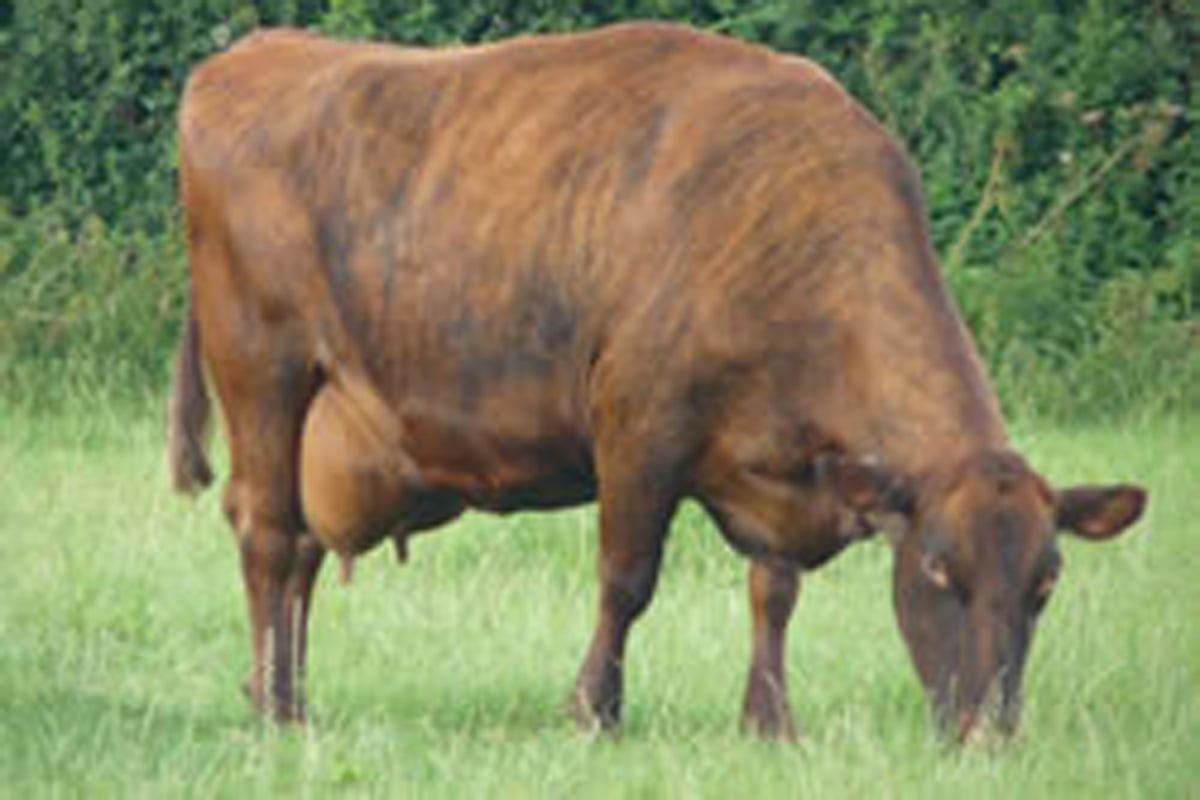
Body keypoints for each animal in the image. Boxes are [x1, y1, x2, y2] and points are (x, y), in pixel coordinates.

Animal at [167, 22, 1147, 741]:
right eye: (940, 570)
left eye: (1046, 582)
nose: (988, 734)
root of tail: (256, 53)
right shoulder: (640, 426)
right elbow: (626, 579)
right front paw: (594, 711)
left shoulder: (779, 468)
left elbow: (773, 591)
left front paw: (769, 721)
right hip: (264, 370)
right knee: (268, 534)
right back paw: (279, 712)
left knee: (298, 548)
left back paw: (280, 693)